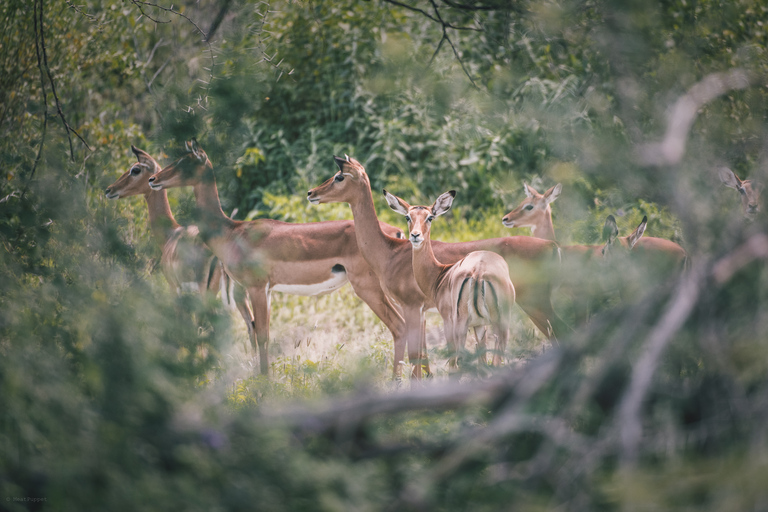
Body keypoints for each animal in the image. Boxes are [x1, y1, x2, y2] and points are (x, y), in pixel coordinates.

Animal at [384, 190, 516, 366]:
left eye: (430, 217)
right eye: (407, 216)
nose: (415, 235)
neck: (440, 274)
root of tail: (478, 272)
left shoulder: (447, 319)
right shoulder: (479, 325)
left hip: (463, 324)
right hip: (499, 325)